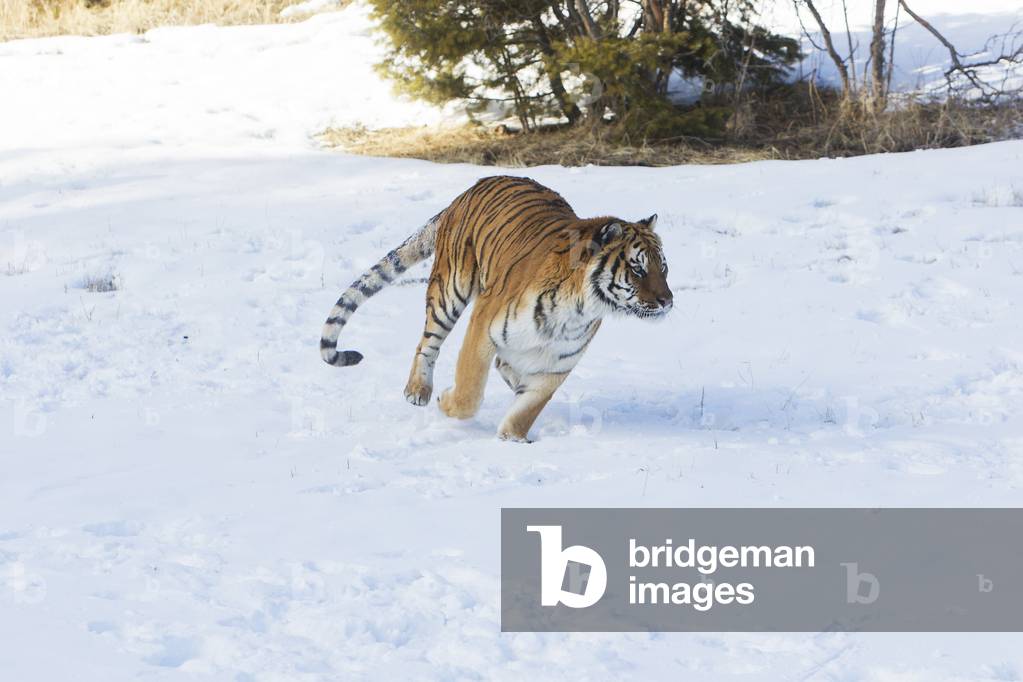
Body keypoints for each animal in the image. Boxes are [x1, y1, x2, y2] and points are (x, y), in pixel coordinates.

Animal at [320, 175, 672, 442]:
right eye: (638, 269)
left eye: (663, 268)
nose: (668, 301)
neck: (579, 310)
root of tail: (471, 188)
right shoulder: (483, 326)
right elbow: (470, 391)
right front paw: (446, 401)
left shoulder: (557, 364)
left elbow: (527, 409)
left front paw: (513, 440)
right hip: (449, 291)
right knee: (427, 343)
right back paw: (418, 390)